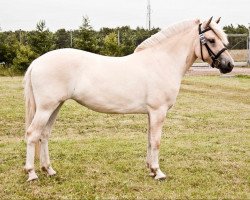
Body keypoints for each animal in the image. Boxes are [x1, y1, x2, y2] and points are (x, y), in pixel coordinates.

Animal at [23, 17, 234, 181]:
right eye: (211, 40)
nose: (229, 65)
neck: (161, 61)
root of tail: (37, 62)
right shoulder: (158, 111)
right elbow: (156, 141)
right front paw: (158, 172)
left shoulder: (151, 113)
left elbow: (149, 139)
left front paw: (150, 169)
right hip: (46, 108)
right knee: (33, 134)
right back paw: (32, 173)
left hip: (55, 106)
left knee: (44, 134)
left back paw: (49, 170)